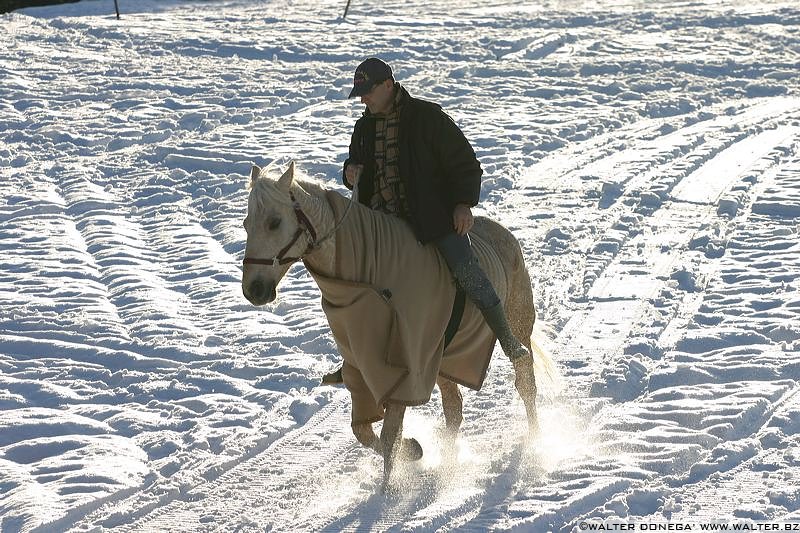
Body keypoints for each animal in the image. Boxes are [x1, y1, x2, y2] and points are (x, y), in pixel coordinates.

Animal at [241, 161, 540, 490]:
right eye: (246, 224)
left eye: (274, 222)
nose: (253, 290)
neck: (371, 281)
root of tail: (504, 234)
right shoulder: (363, 366)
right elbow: (364, 431)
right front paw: (413, 449)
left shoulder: (408, 365)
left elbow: (388, 434)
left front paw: (388, 491)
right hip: (444, 355)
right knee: (454, 408)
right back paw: (448, 461)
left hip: (517, 321)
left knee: (525, 379)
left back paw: (536, 439)